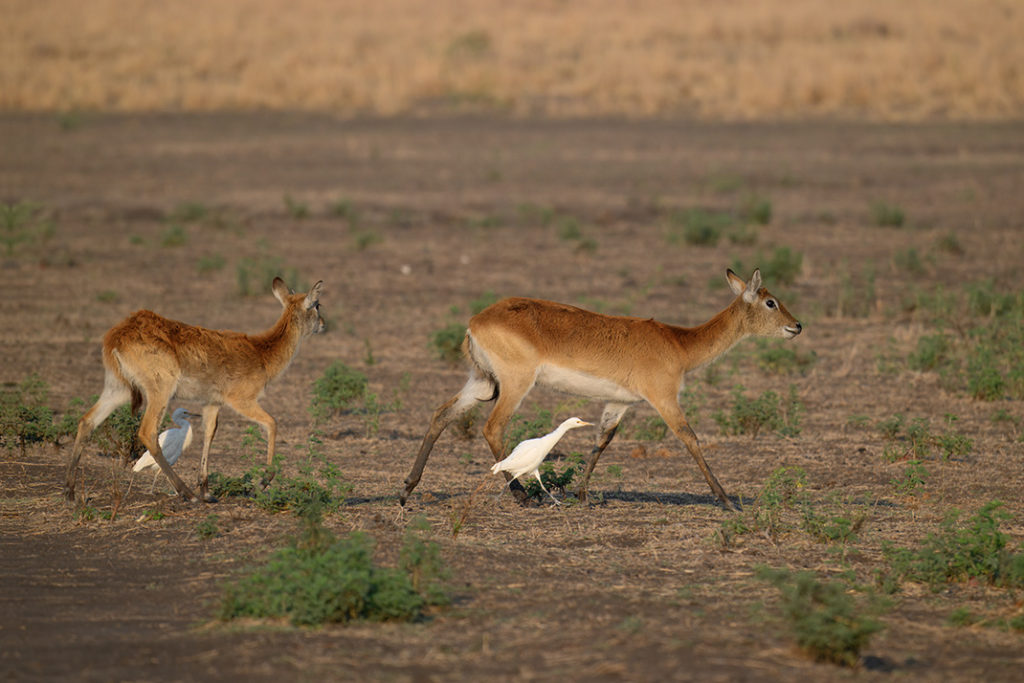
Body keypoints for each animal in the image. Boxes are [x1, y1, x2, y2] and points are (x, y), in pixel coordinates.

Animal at [62, 278, 323, 501]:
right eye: (318, 304)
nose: (323, 324)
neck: (262, 352)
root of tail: (116, 336)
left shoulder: (212, 402)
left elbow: (209, 433)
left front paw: (206, 490)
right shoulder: (241, 400)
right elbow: (272, 424)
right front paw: (261, 483)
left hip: (117, 389)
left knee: (87, 421)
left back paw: (70, 493)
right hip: (160, 390)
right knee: (148, 432)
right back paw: (186, 493)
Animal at [399, 270, 798, 509]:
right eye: (770, 301)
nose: (797, 326)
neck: (679, 344)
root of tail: (476, 320)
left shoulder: (619, 403)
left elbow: (601, 442)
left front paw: (582, 493)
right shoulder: (664, 399)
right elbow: (690, 437)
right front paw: (727, 499)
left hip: (481, 382)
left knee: (441, 414)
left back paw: (407, 489)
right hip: (514, 385)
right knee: (492, 427)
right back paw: (523, 496)